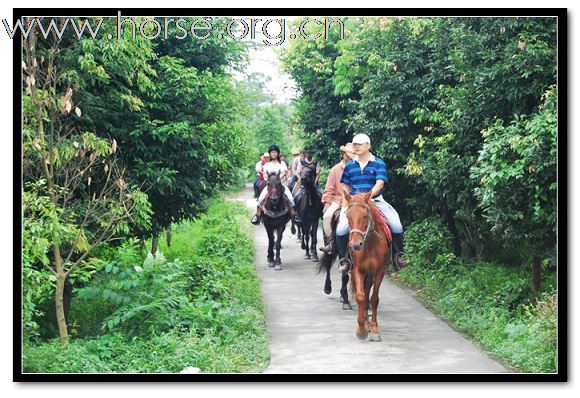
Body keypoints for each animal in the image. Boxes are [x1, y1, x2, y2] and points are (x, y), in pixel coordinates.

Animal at [342, 190, 392, 342]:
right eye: (348, 216)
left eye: (365, 216)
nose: (356, 245)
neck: (369, 243)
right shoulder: (357, 270)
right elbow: (360, 296)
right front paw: (361, 329)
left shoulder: (380, 270)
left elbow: (374, 299)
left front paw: (374, 329)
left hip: (370, 273)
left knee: (368, 290)